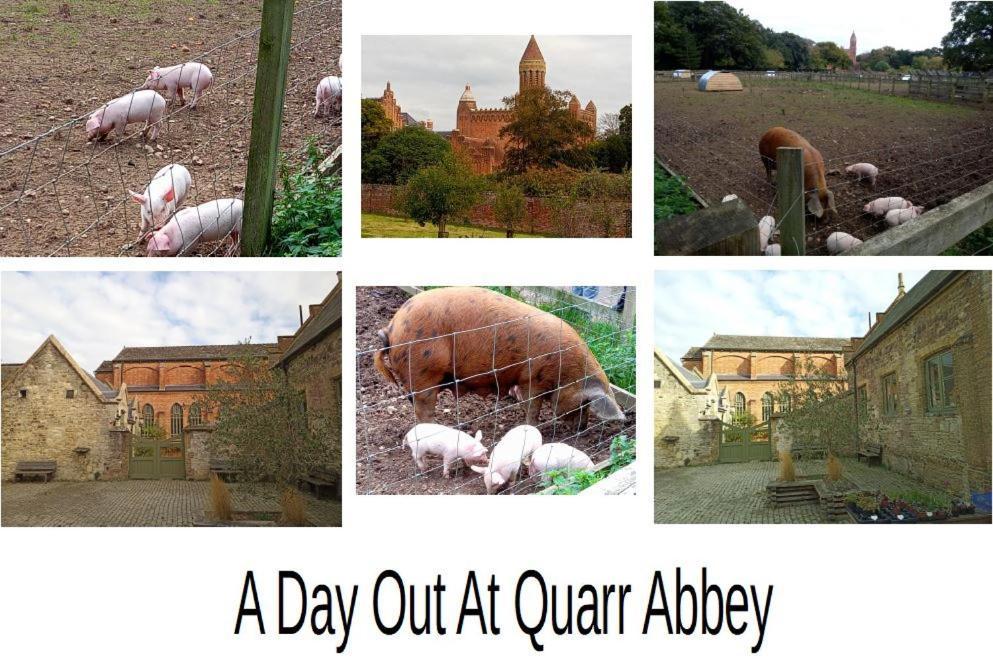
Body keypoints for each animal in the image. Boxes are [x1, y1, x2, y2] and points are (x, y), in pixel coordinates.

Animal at [376, 288, 624, 428]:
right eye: (585, 403)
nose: (582, 428)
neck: (567, 370)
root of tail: (392, 327)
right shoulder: (532, 379)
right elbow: (532, 408)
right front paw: (534, 427)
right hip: (424, 371)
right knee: (424, 411)